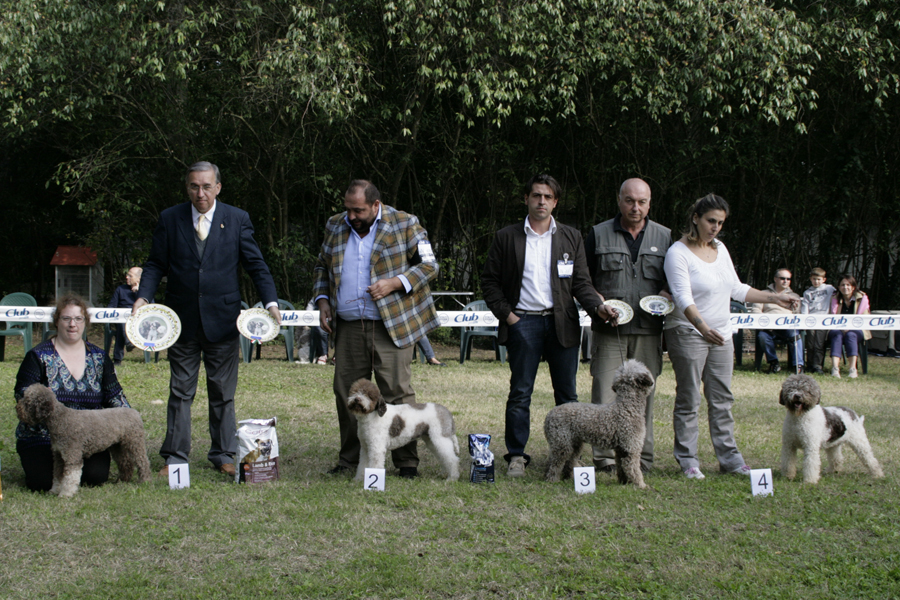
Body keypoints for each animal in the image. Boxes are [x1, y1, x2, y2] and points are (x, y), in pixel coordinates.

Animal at [16, 384, 152, 498]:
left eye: (27, 401)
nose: (17, 408)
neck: (60, 419)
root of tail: (135, 412)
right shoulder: (59, 456)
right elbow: (57, 476)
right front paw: (54, 491)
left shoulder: (72, 456)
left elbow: (70, 477)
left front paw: (66, 494)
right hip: (117, 446)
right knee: (126, 463)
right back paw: (122, 481)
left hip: (135, 443)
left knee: (143, 462)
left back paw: (144, 480)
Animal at [544, 359, 653, 488]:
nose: (652, 381)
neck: (627, 408)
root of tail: (549, 414)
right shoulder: (631, 448)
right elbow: (634, 469)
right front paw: (641, 485)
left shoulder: (621, 450)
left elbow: (622, 467)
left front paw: (624, 482)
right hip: (562, 444)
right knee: (555, 464)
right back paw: (552, 479)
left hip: (574, 444)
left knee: (568, 462)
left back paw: (569, 477)